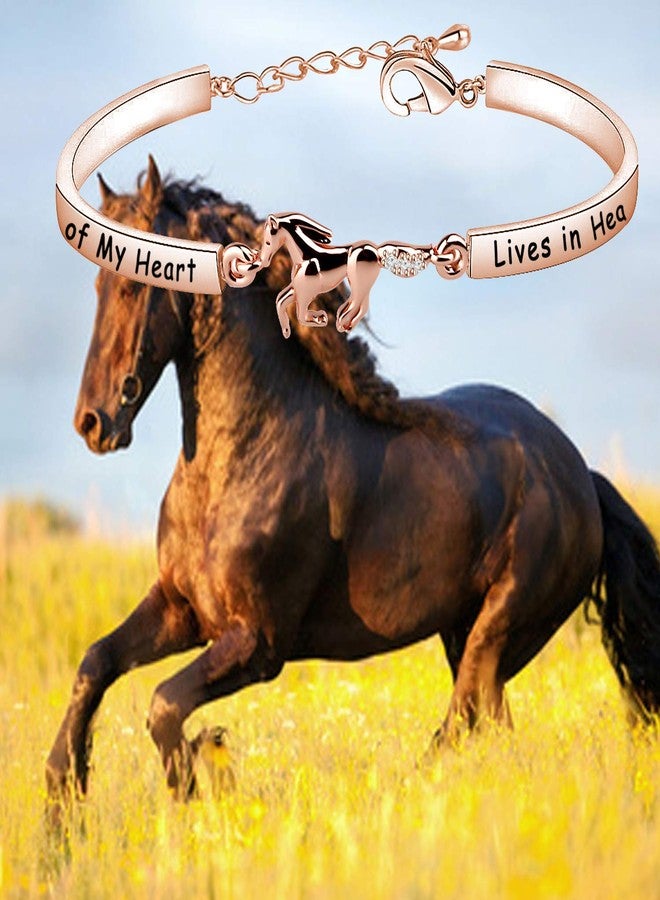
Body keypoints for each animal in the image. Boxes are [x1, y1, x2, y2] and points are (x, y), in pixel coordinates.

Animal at [46, 155, 660, 808]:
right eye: (97, 285)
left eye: (134, 284)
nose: (93, 422)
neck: (235, 464)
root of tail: (580, 475)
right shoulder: (182, 609)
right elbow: (95, 663)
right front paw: (62, 795)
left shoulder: (259, 643)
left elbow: (163, 705)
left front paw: (202, 775)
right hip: (464, 632)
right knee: (488, 722)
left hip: (500, 627)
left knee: (464, 717)